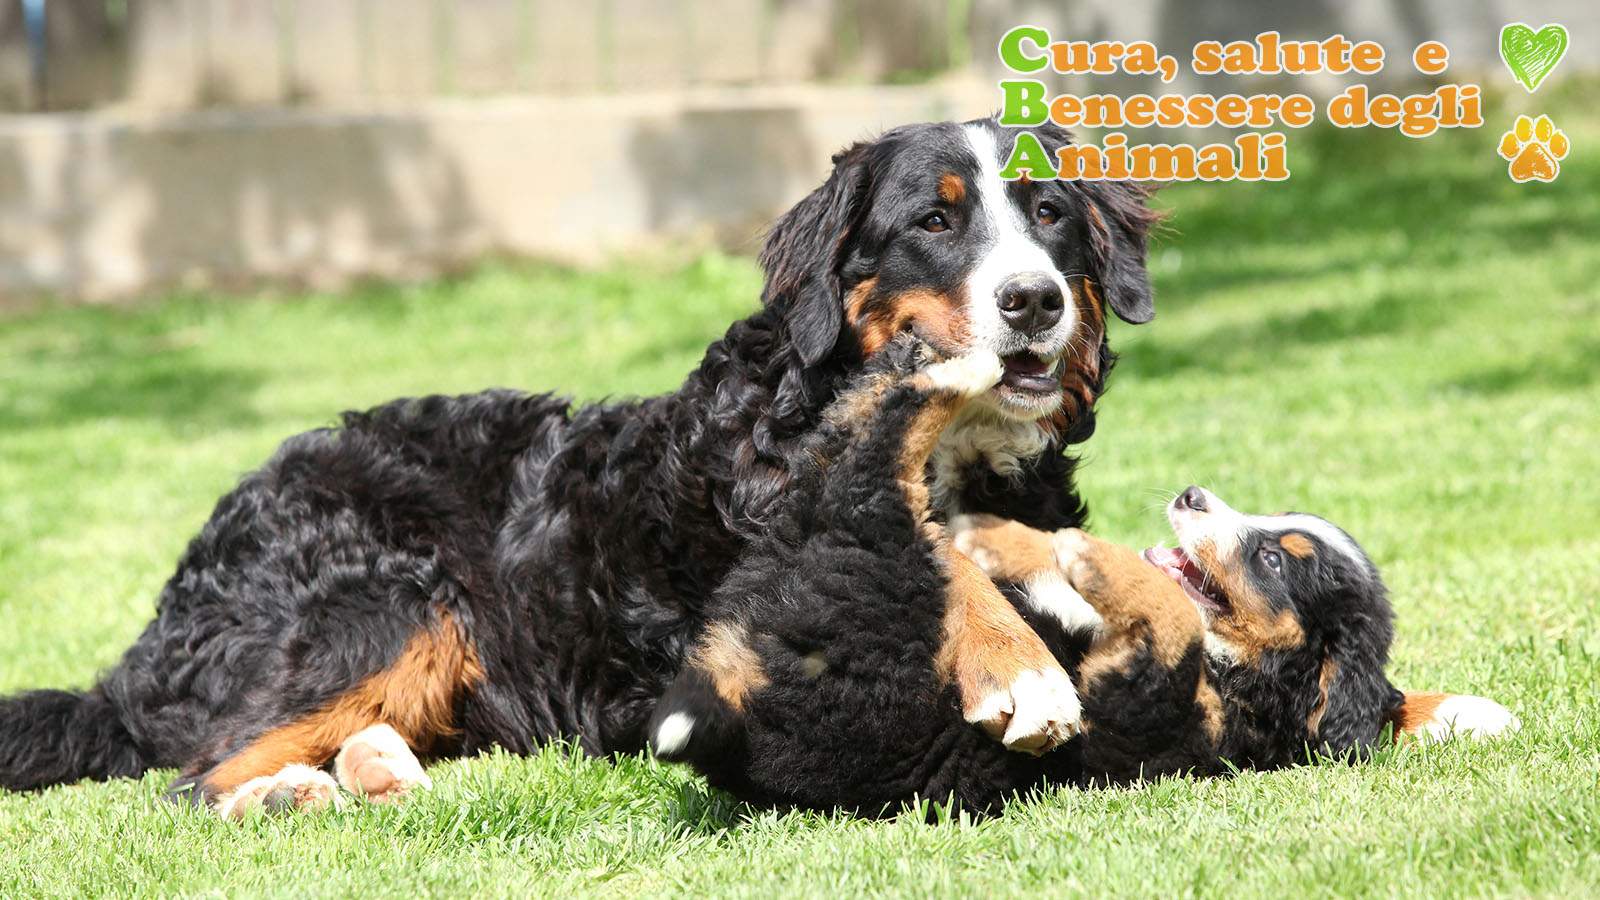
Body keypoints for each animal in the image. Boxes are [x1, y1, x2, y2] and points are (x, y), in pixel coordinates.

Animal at [0, 117, 1164, 813]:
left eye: (1049, 216)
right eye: (935, 218)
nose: (1033, 300)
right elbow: (921, 556)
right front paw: (1017, 664)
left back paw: (380, 765)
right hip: (392, 600)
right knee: (198, 777)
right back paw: (292, 790)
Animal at [646, 344, 1510, 813]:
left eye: (1272, 559)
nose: (1191, 495)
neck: (1246, 679)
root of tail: (736, 716)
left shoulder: (1147, 700)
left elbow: (1170, 619)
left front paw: (1098, 559)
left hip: (871, 587)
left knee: (866, 481)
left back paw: (950, 377)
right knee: (856, 455)